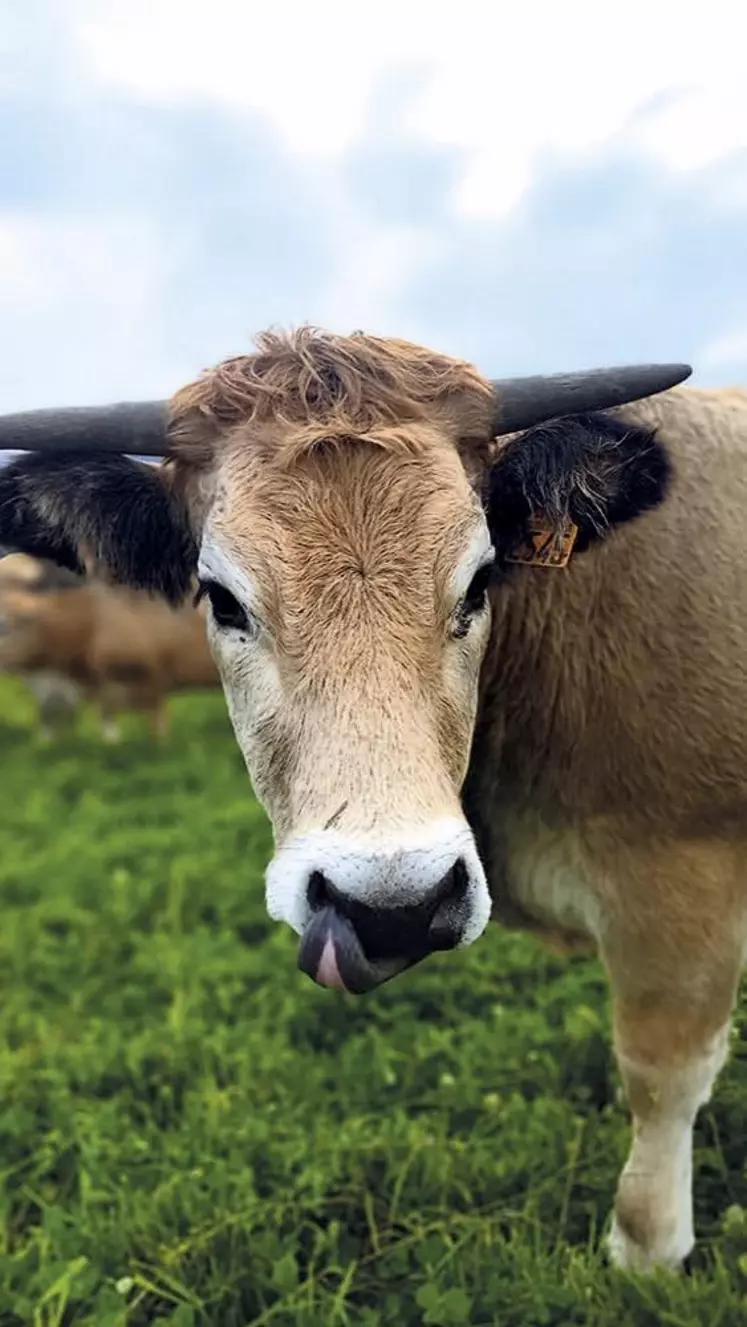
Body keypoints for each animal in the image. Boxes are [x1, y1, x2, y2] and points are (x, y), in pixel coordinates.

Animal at [0, 323, 743, 1273]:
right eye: (223, 599)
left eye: (478, 580)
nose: (394, 903)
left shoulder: (681, 892)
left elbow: (661, 1075)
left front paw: (646, 1253)